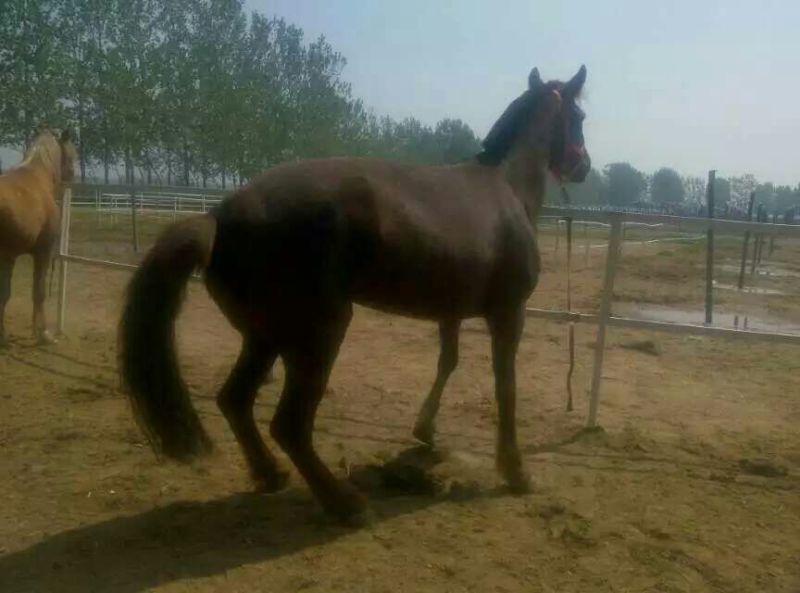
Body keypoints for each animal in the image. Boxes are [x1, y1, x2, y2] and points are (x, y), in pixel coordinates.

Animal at [0, 128, 77, 346]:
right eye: (72, 153)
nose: (74, 175)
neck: (37, 179)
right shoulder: (42, 252)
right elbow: (39, 292)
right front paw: (43, 334)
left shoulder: (8, 256)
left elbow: (4, 294)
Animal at [119, 66, 591, 524]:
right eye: (580, 116)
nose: (584, 165)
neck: (504, 188)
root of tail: (218, 217)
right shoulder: (509, 313)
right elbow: (505, 387)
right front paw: (515, 471)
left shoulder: (450, 311)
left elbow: (448, 362)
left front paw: (425, 430)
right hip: (317, 337)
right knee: (289, 425)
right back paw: (344, 503)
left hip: (263, 338)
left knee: (235, 400)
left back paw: (271, 475)